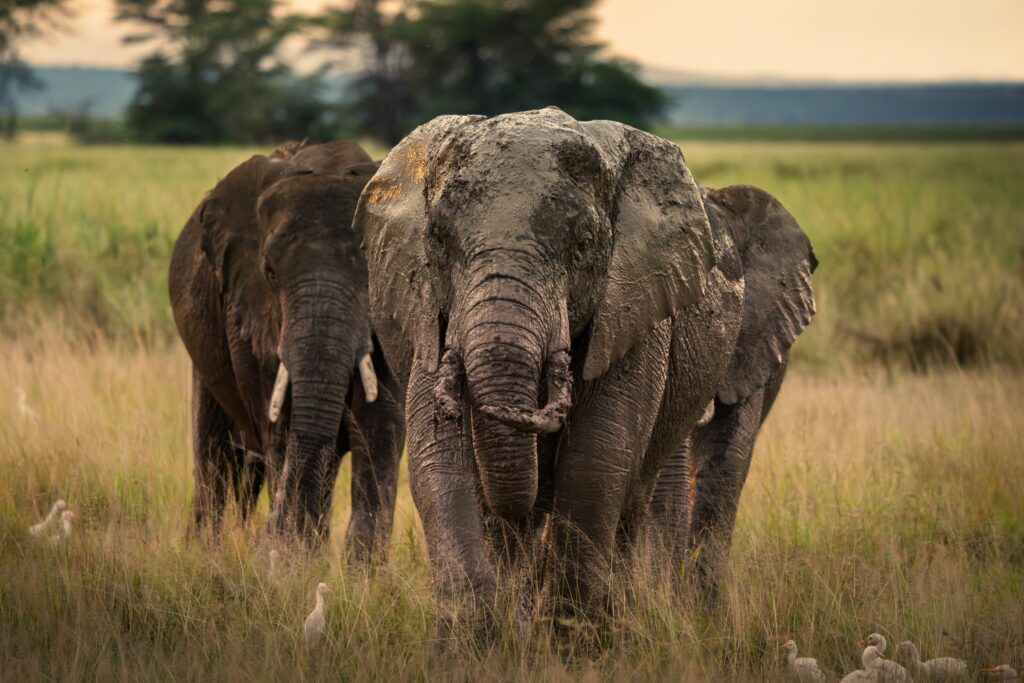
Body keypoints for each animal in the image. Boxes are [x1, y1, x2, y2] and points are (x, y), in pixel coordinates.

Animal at [168, 140, 405, 562]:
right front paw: (292, 563)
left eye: (371, 272)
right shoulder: (248, 314)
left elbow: (382, 425)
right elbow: (279, 425)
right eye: (270, 272)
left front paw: (362, 573)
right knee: (214, 455)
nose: (265, 544)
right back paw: (205, 549)